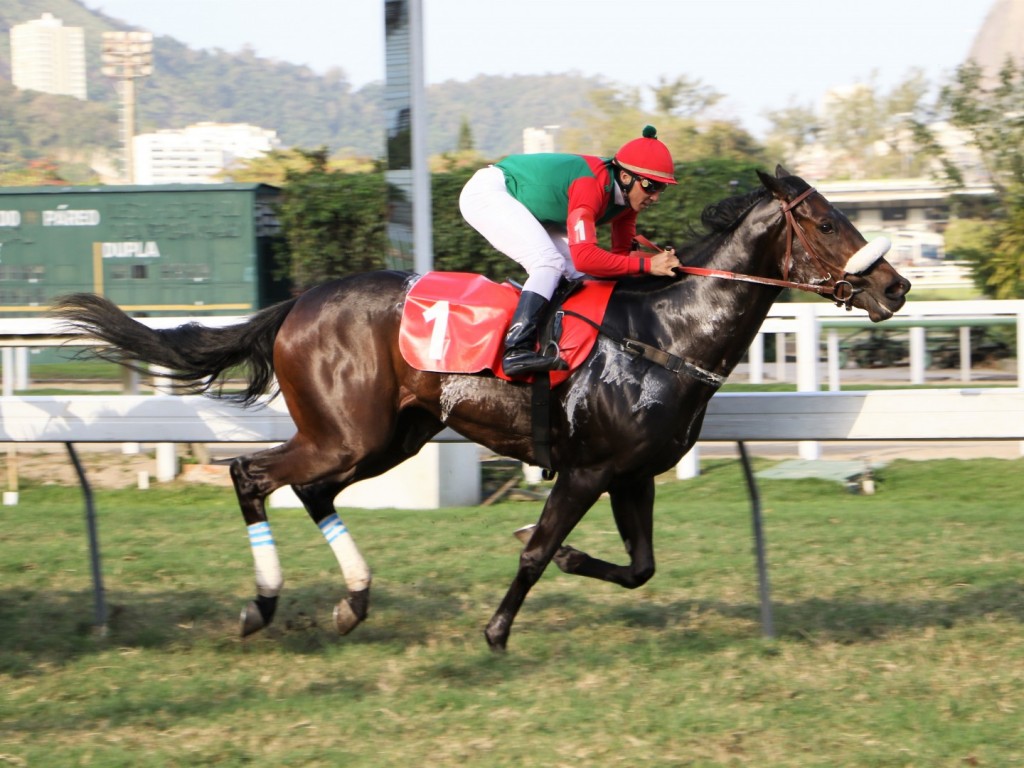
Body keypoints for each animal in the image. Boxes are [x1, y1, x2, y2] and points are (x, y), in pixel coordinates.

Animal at [54, 165, 913, 651]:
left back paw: (352, 603)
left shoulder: (633, 472)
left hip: (388, 436)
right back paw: (262, 608)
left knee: (310, 489)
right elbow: (537, 553)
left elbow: (639, 568)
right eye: (827, 221)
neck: (667, 332)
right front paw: (500, 627)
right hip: (348, 432)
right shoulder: (589, 468)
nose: (897, 285)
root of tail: (297, 302)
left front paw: (568, 559)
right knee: (251, 474)